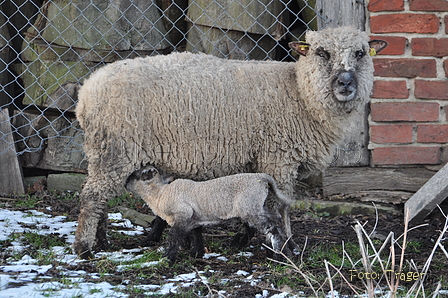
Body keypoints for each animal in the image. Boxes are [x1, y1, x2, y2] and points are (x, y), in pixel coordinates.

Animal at [126, 166, 294, 262]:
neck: (159, 194)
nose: (125, 184)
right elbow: (197, 235)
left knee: (271, 227)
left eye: (135, 175)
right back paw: (282, 251)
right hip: (256, 206)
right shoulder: (193, 218)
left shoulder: (182, 214)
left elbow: (173, 236)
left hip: (250, 207)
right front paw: (196, 253)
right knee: (276, 220)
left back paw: (279, 255)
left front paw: (168, 258)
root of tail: (262, 177)